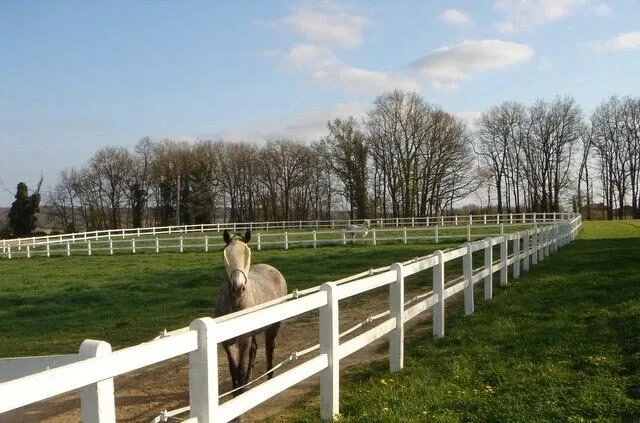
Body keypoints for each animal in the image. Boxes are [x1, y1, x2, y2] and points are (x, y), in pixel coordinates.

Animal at [215, 229, 288, 407]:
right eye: (226, 254)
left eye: (247, 253)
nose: (238, 287)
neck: (236, 304)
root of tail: (273, 269)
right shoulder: (227, 342)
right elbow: (234, 369)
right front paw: (236, 393)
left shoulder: (244, 339)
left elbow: (240, 368)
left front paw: (240, 395)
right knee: (254, 350)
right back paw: (248, 382)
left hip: (273, 326)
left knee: (269, 349)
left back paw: (269, 377)